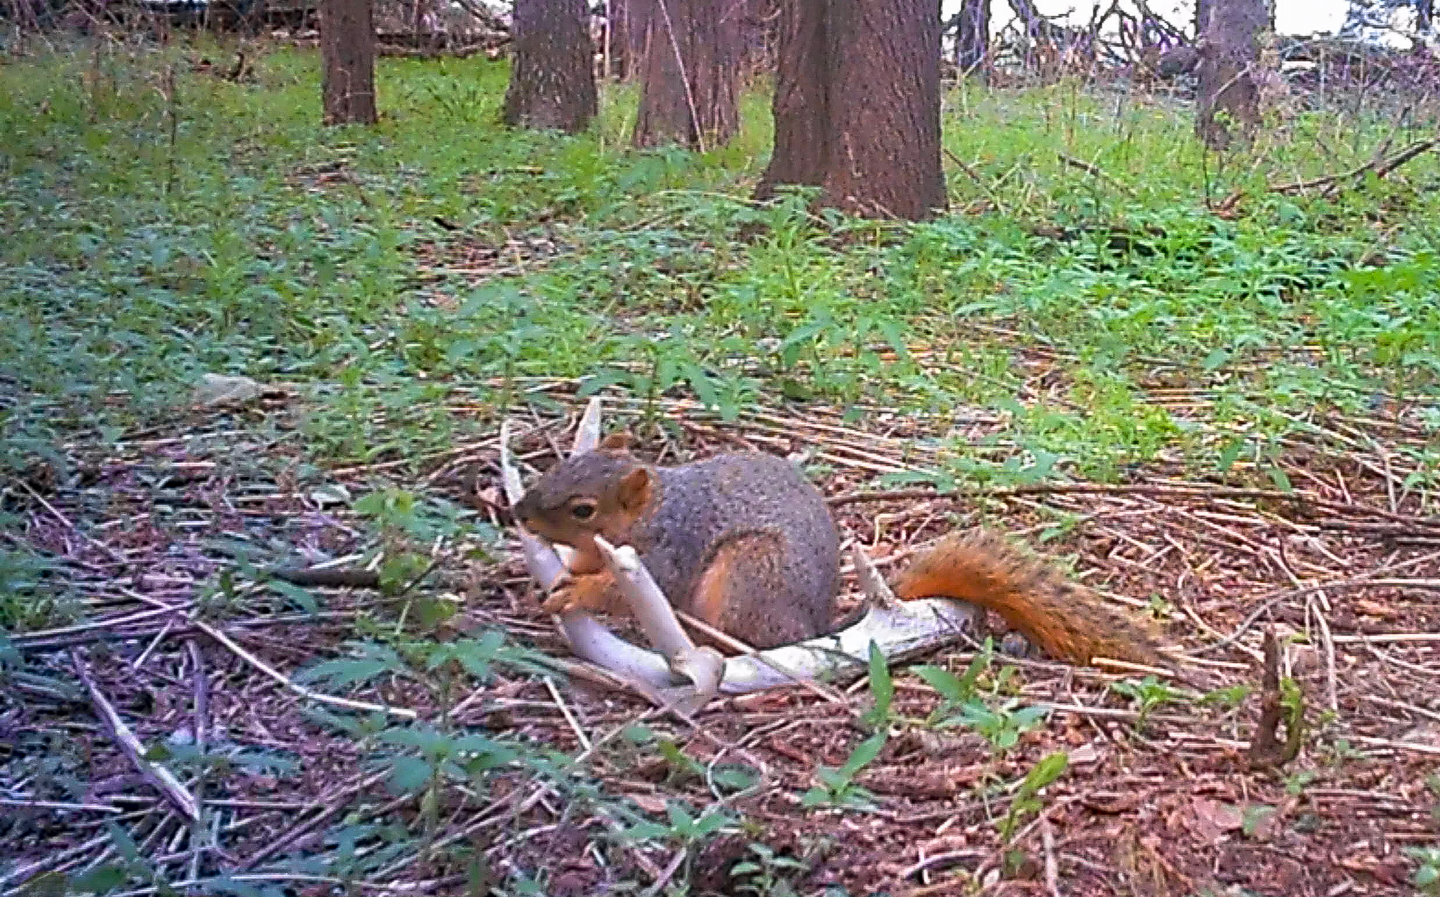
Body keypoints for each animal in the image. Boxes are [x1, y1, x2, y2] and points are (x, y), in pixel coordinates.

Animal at [513, 433, 1163, 665]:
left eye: (583, 509)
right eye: (561, 464)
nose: (518, 512)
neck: (654, 511)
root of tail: (814, 625)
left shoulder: (671, 551)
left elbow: (637, 590)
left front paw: (576, 594)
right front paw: (561, 578)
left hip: (747, 573)